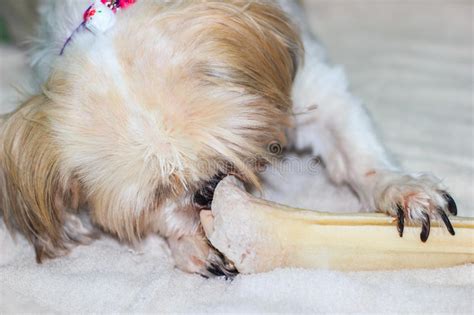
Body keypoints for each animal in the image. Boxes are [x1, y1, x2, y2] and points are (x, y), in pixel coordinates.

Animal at [0, 0, 460, 278]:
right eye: (158, 192)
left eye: (226, 154)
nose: (206, 192)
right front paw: (193, 243)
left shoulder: (316, 87)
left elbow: (358, 150)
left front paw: (404, 190)